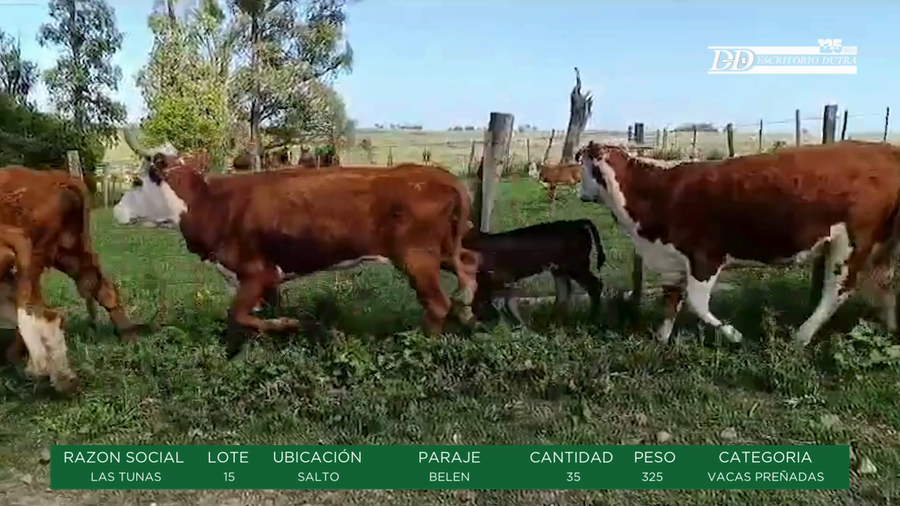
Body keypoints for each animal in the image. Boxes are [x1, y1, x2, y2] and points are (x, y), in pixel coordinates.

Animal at [116, 129, 481, 359]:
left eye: (136, 181)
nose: (118, 211)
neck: (213, 204)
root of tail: (442, 176)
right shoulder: (256, 279)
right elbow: (248, 318)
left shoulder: (258, 272)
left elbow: (239, 314)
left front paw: (289, 325)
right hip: (440, 251)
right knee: (471, 263)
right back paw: (466, 312)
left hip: (416, 257)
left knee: (437, 302)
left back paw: (423, 345)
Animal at [463, 219, 605, 326]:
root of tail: (577, 223)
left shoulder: (502, 279)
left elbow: (504, 302)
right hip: (560, 269)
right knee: (564, 292)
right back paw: (554, 322)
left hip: (576, 266)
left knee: (594, 285)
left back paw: (590, 320)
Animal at [578, 140, 900, 347]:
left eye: (583, 169)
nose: (581, 194)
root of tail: (885, 149)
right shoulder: (671, 260)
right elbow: (670, 301)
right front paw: (661, 339)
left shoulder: (705, 256)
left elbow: (696, 303)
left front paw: (735, 335)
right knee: (883, 282)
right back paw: (891, 329)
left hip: (852, 242)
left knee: (838, 290)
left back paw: (801, 337)